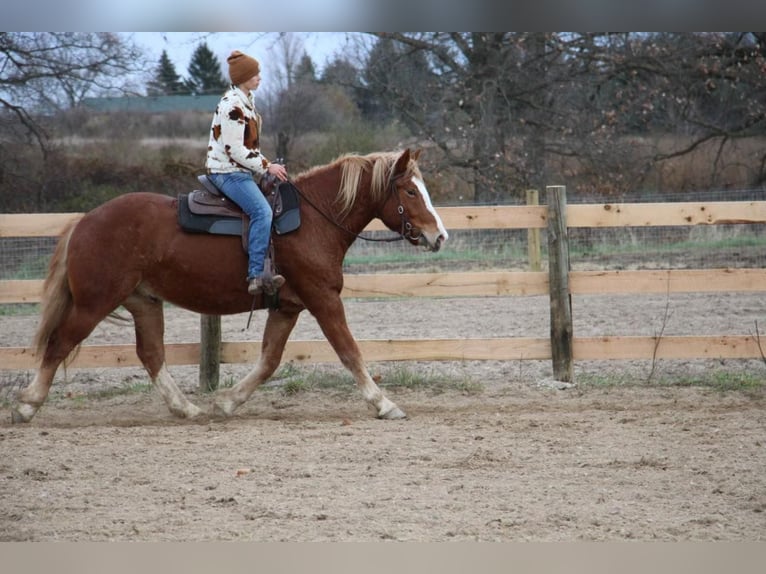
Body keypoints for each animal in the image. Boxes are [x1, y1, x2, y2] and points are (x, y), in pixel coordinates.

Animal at [12, 148, 450, 426]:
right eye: (411, 191)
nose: (440, 236)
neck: (314, 219)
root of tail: (84, 222)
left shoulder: (287, 306)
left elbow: (269, 360)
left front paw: (226, 402)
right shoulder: (323, 299)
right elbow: (349, 352)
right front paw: (385, 404)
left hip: (144, 302)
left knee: (151, 355)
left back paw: (187, 409)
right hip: (94, 302)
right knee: (59, 343)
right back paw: (27, 406)